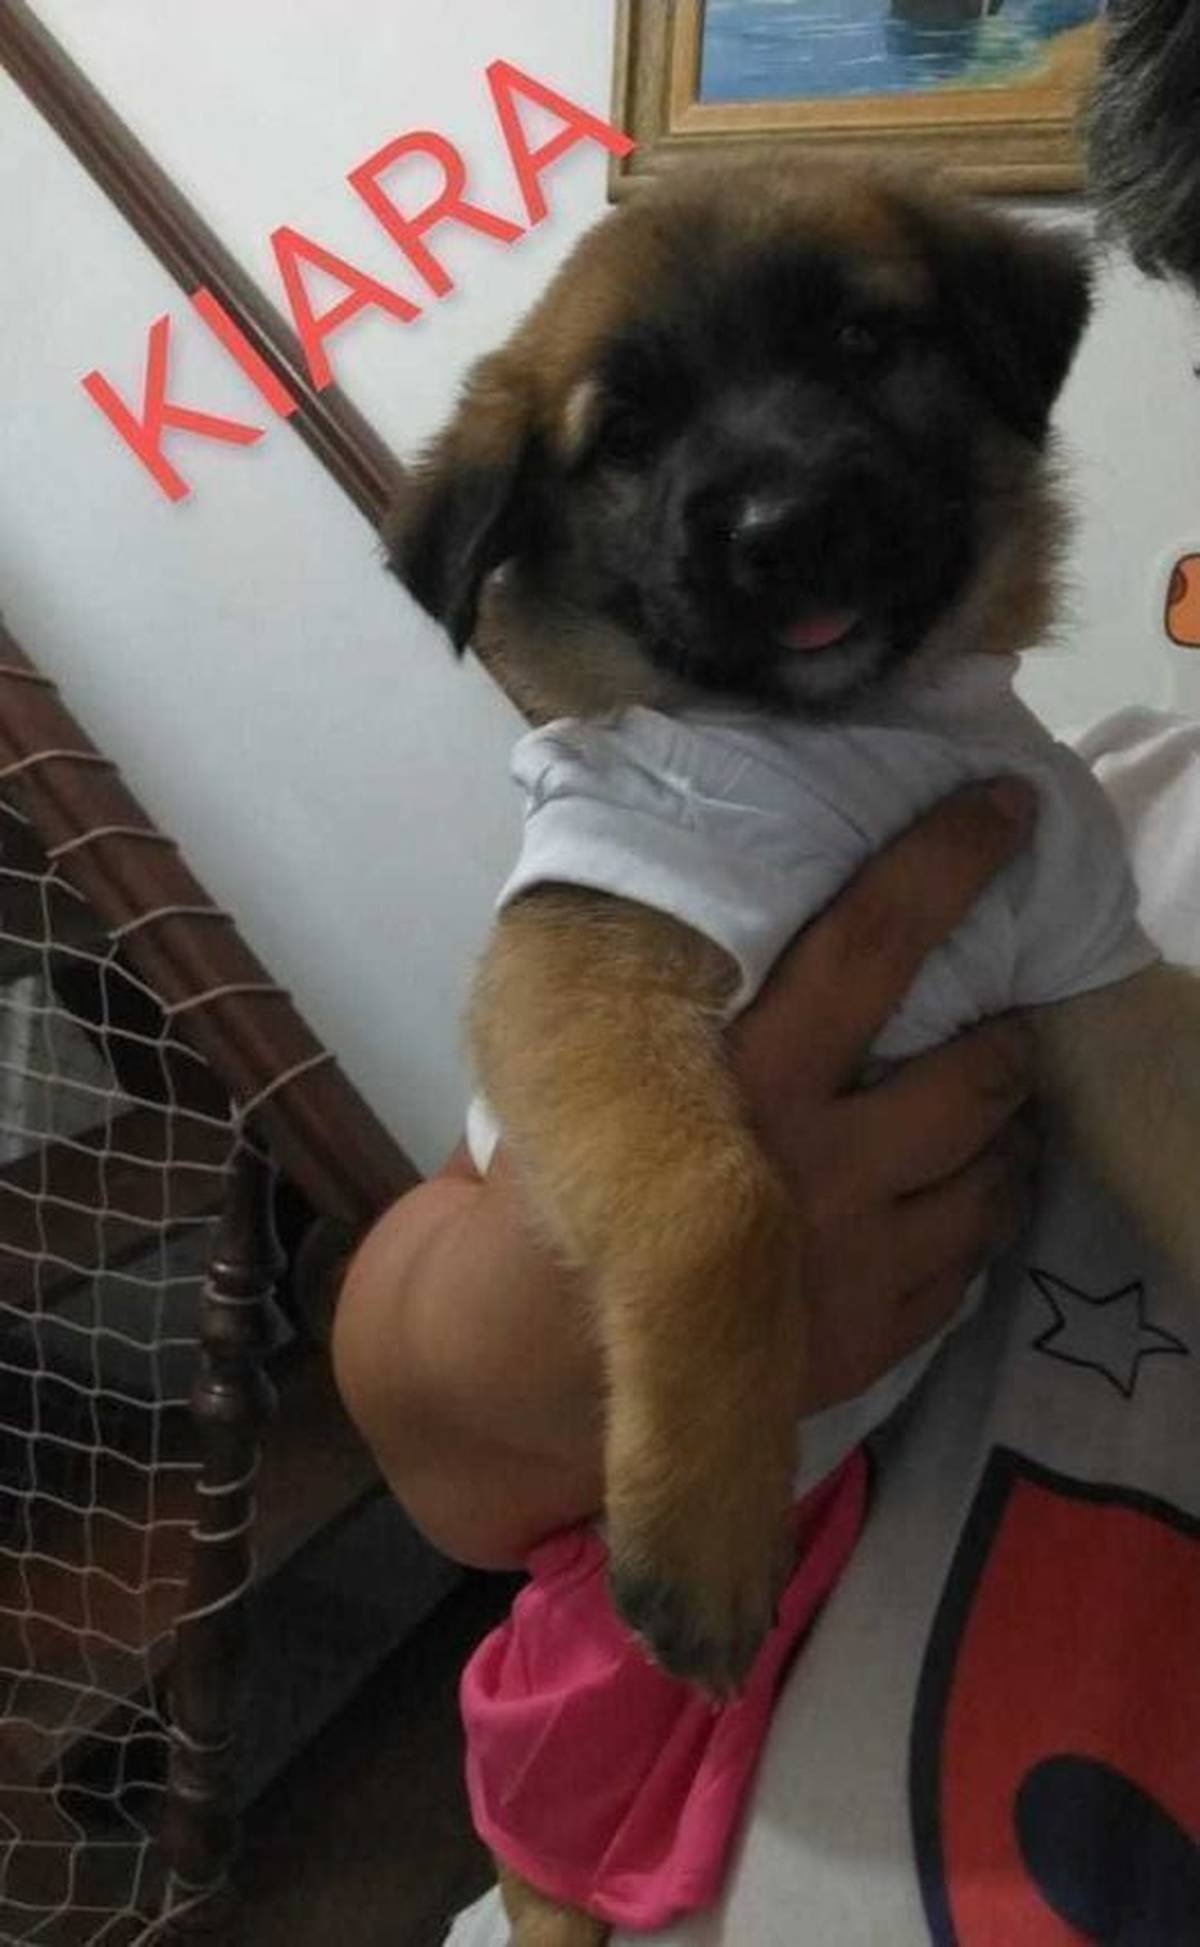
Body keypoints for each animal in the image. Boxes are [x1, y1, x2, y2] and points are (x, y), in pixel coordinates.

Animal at [387, 156, 1200, 1945]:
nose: (787, 528)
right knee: (531, 1855)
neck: (847, 735)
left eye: (858, 341)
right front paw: (699, 1528)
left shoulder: (1082, 963)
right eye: (625, 434)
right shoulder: (589, 962)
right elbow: (720, 1200)